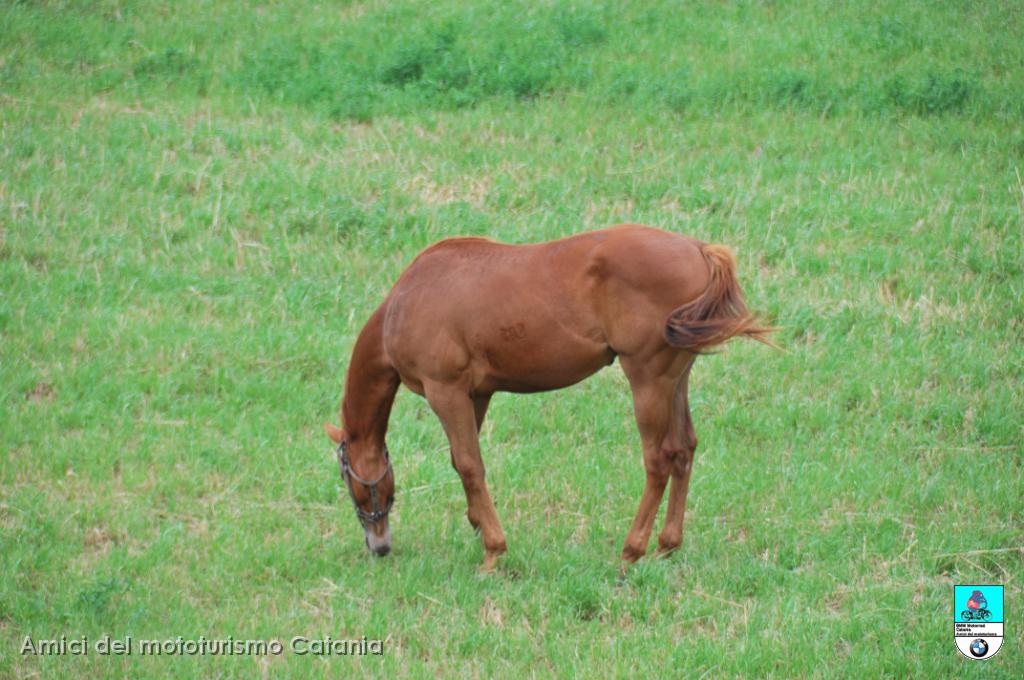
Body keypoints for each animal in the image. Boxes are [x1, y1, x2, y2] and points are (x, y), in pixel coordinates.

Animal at [323, 223, 770, 569]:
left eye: (349, 481)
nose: (379, 545)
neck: (407, 302)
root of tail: (699, 250)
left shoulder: (445, 391)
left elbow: (469, 465)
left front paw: (493, 549)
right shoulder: (476, 394)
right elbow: (462, 462)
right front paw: (478, 523)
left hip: (648, 378)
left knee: (659, 460)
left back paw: (632, 550)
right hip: (675, 379)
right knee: (684, 449)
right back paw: (666, 545)